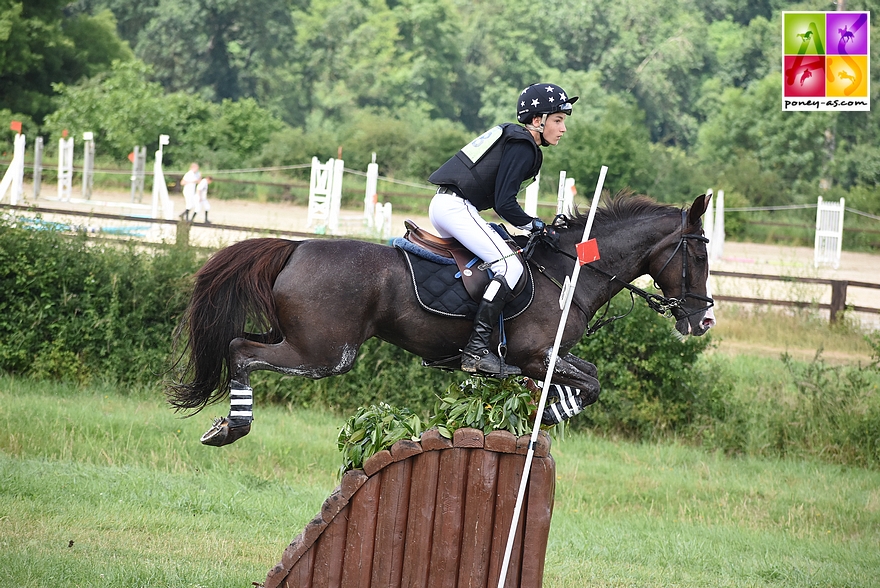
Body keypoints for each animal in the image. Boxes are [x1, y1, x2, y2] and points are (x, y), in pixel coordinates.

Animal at [168, 193, 720, 446]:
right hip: (324, 353)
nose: (702, 321)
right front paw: (553, 412)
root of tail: (297, 247)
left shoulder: (550, 356)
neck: (569, 270)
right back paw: (231, 427)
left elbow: (589, 376)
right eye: (700, 255)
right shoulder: (536, 356)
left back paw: (225, 421)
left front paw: (551, 410)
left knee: (240, 343)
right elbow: (591, 382)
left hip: (298, 338)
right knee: (241, 351)